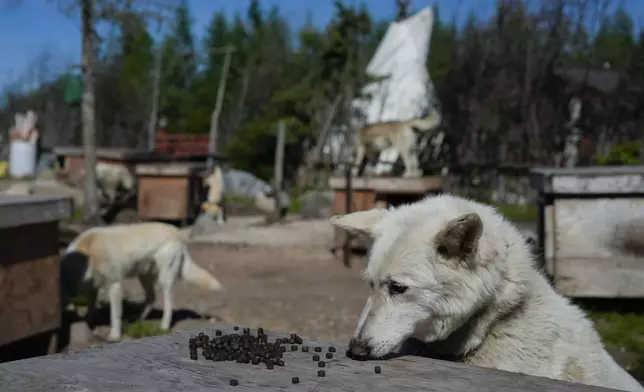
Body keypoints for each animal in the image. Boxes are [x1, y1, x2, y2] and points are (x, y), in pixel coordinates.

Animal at [61, 222, 221, 342]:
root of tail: (177, 232)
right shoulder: (92, 290)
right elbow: (91, 310)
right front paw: (90, 325)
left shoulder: (114, 285)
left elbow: (114, 316)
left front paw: (114, 336)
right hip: (144, 277)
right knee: (151, 298)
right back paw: (137, 320)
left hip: (164, 280)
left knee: (169, 304)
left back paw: (163, 326)